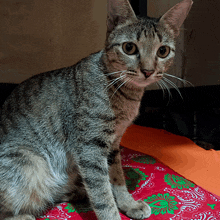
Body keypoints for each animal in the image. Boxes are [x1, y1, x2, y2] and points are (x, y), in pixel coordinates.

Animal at [0, 0, 192, 219]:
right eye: (129, 47)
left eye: (163, 51)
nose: (148, 71)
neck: (126, 96)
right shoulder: (90, 146)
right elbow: (102, 194)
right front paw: (113, 212)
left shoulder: (112, 144)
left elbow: (116, 178)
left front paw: (128, 203)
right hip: (28, 164)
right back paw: (27, 215)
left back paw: (76, 192)